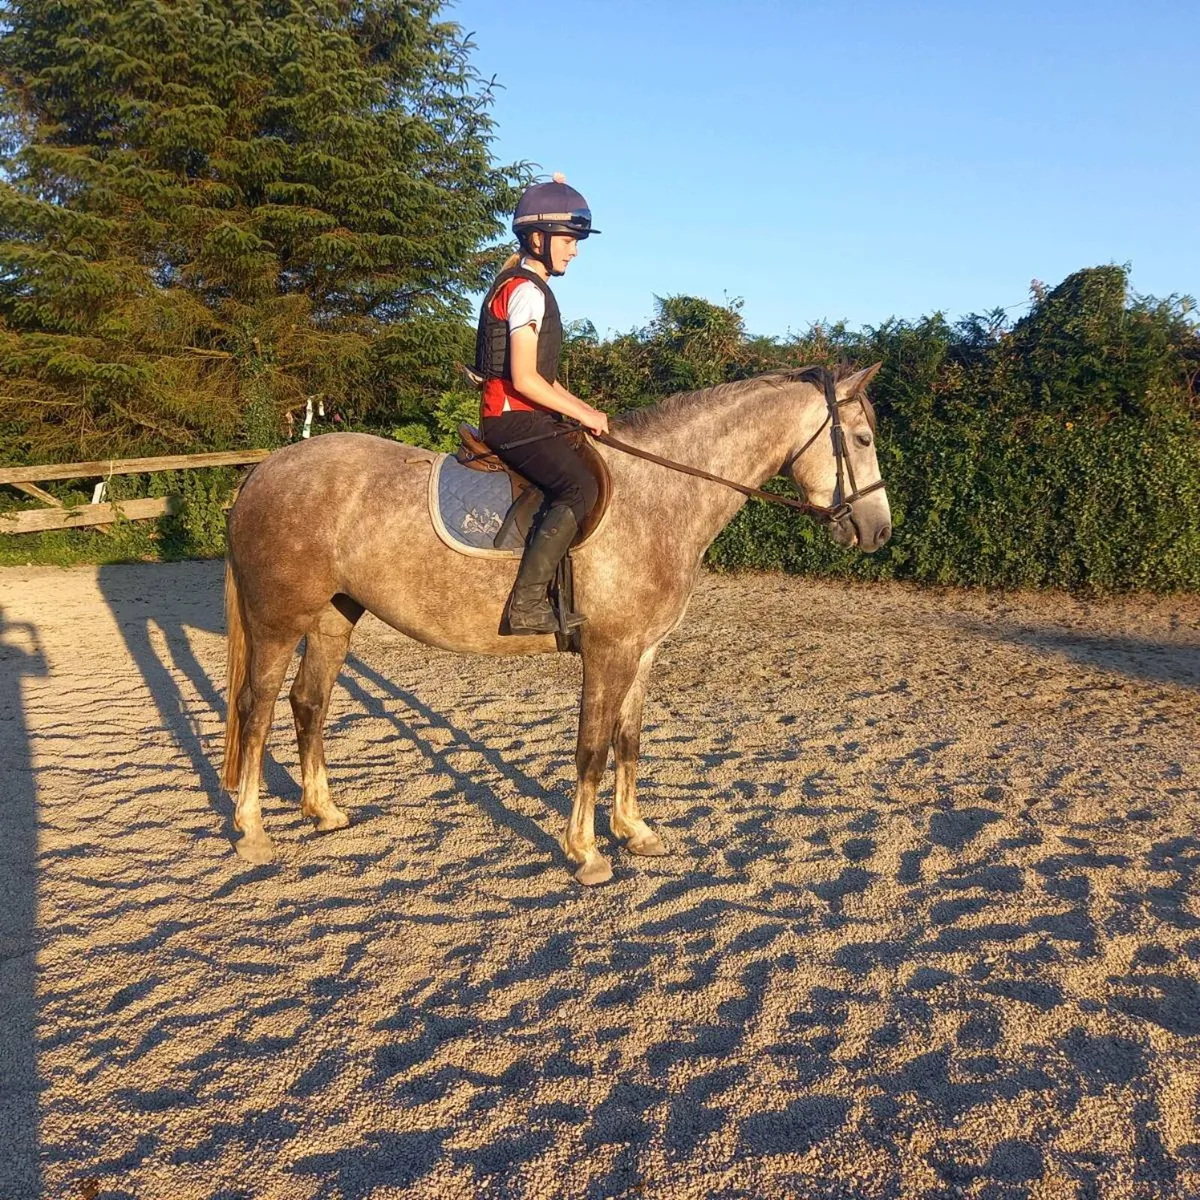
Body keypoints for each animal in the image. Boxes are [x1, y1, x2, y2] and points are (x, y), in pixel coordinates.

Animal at [219, 363, 891, 884]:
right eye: (860, 438)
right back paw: (251, 831)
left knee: (309, 703)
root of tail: (266, 468)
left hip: (334, 618)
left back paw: (324, 811)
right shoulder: (609, 651)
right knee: (257, 708)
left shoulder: (642, 652)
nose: (879, 531)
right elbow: (591, 748)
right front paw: (587, 852)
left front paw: (634, 830)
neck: (659, 492)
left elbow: (628, 741)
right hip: (278, 621)